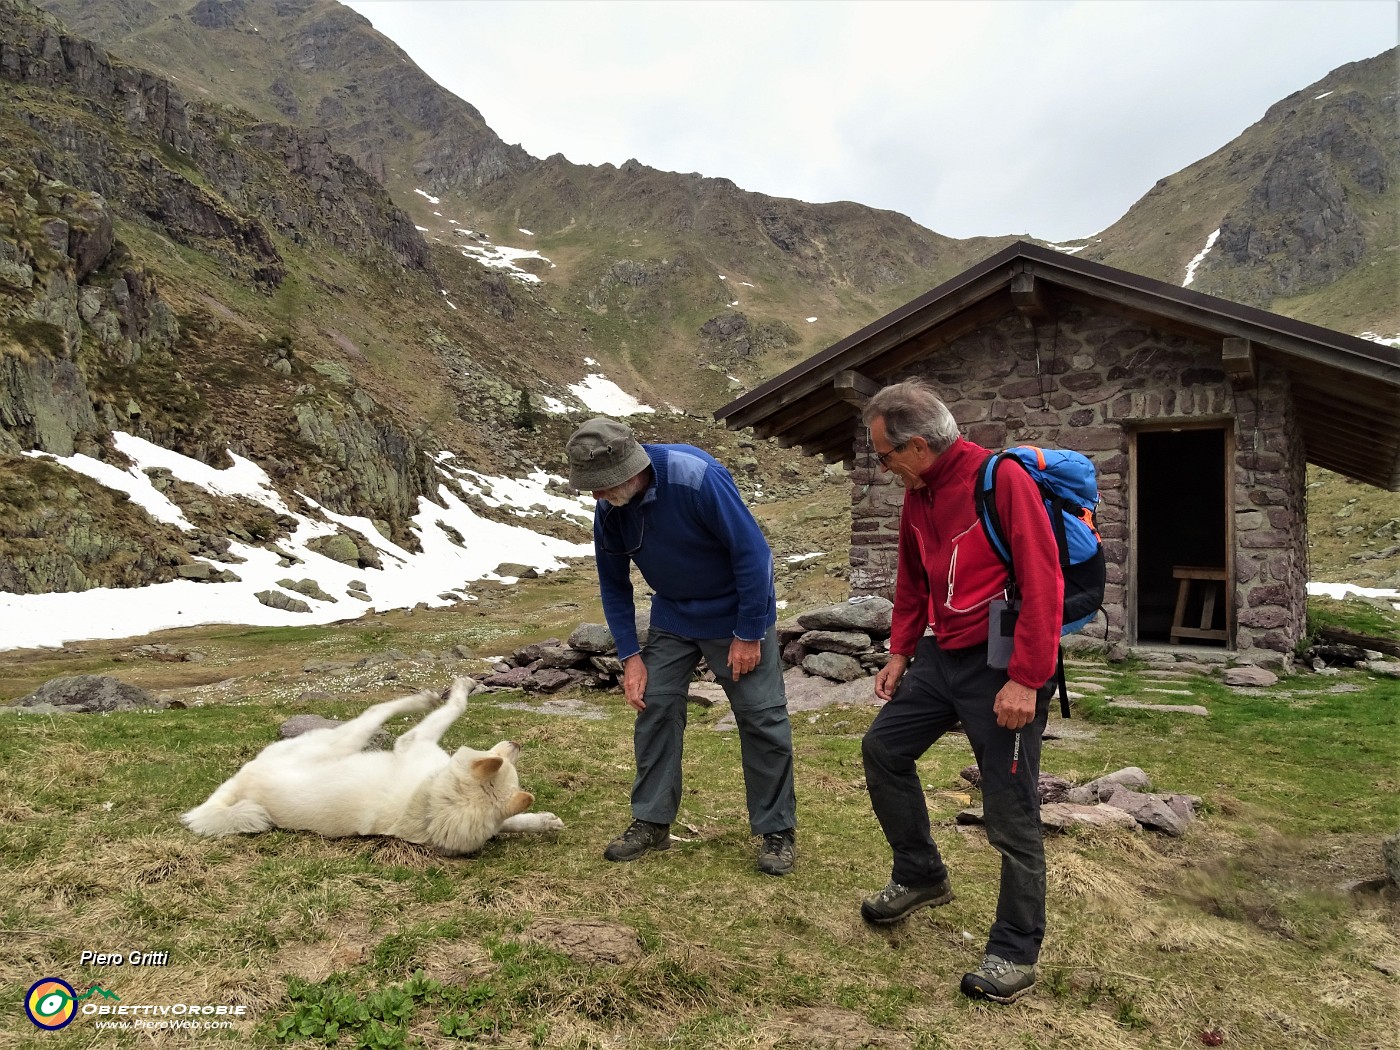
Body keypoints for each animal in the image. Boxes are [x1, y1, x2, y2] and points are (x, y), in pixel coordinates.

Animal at [182, 683, 562, 856]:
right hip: (341, 741)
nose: (517, 743)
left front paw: (542, 822)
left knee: (374, 712)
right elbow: (456, 707)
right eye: (496, 752)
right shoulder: (415, 740)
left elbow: (512, 822)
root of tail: (241, 784)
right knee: (378, 709)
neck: (435, 802)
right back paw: (422, 698)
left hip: (340, 741)